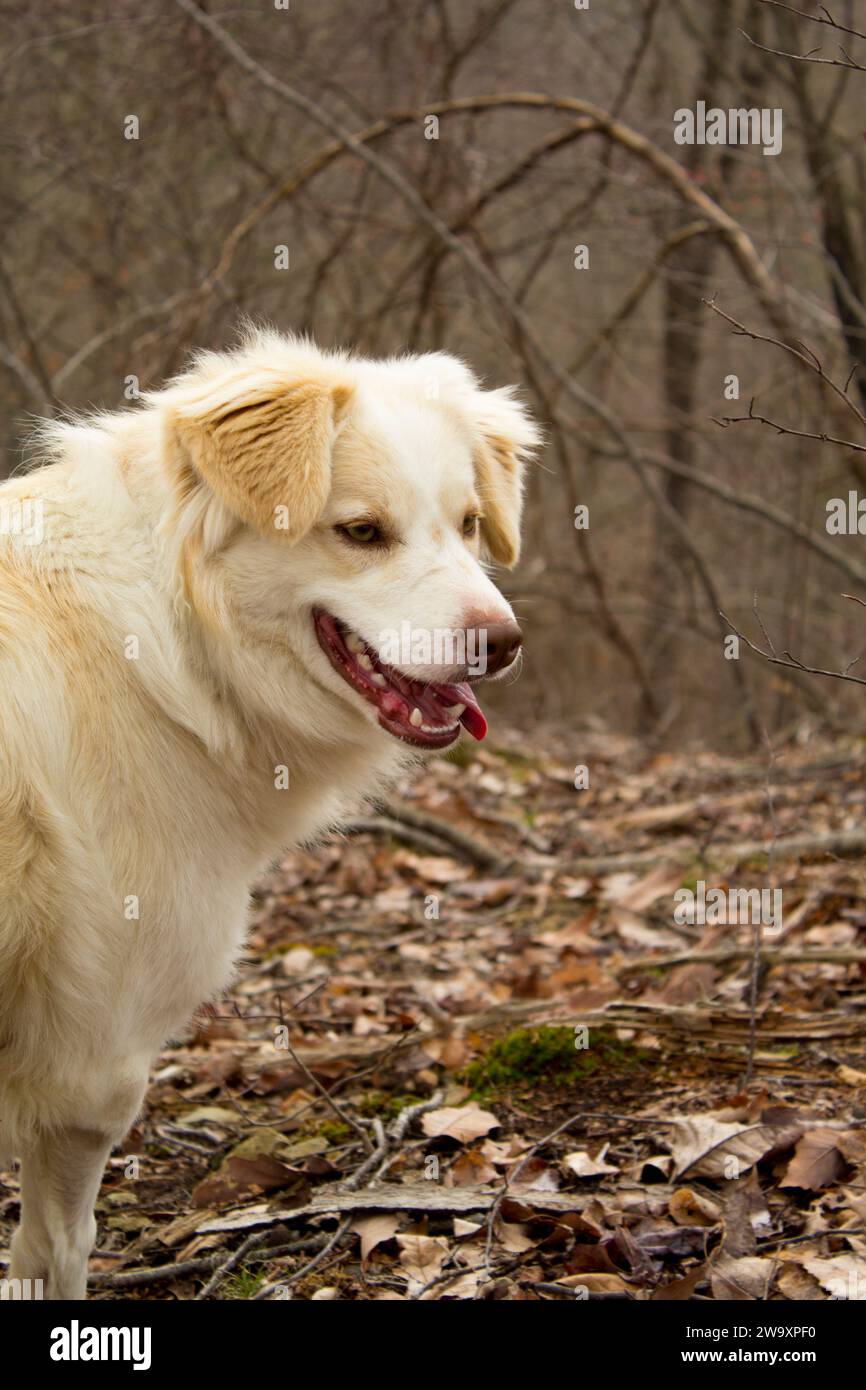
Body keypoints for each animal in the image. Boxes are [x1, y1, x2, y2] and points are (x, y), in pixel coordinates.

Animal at [0, 328, 539, 1301]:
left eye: (471, 524)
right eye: (361, 533)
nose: (503, 645)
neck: (174, 642)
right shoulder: (91, 1070)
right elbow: (57, 1249)